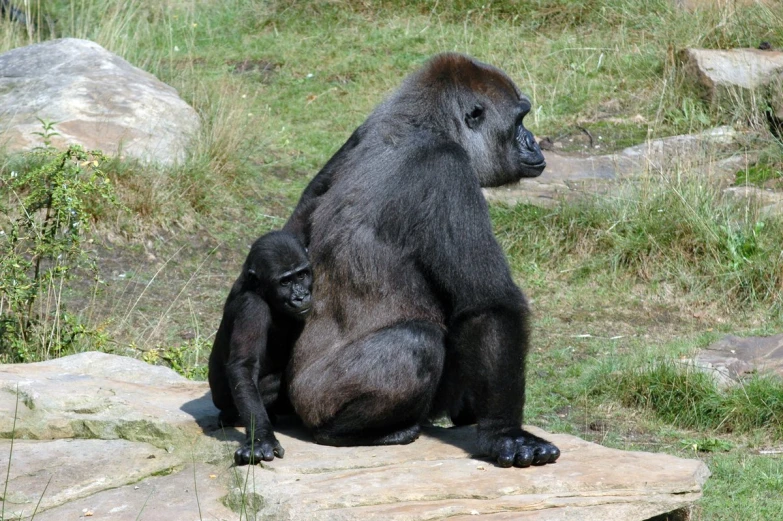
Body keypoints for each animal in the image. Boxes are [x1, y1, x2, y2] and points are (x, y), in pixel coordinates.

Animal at [208, 230, 312, 466]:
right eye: (285, 281)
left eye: (302, 275)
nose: (301, 296)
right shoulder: (251, 307)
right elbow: (244, 367)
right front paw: (262, 438)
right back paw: (233, 417)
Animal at [284, 52, 560, 468]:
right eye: (519, 121)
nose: (534, 142)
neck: (426, 123)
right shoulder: (447, 171)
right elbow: (489, 304)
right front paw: (506, 433)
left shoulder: (364, 127)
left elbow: (298, 220)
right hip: (315, 400)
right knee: (416, 342)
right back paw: (351, 432)